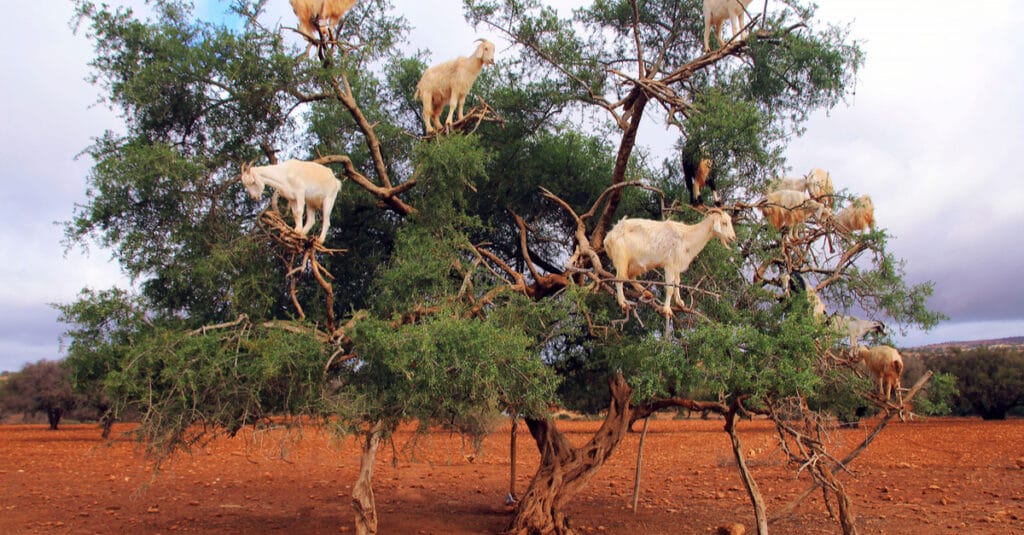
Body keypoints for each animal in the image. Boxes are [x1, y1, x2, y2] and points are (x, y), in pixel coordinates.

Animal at [598, 208, 737, 315]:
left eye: (729, 222)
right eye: (724, 223)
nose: (733, 237)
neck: (687, 236)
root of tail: (608, 237)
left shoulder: (676, 266)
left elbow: (677, 283)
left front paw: (680, 303)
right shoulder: (669, 266)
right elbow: (670, 287)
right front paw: (667, 310)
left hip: (635, 264)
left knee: (630, 276)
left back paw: (647, 293)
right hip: (621, 258)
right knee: (619, 279)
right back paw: (623, 302)